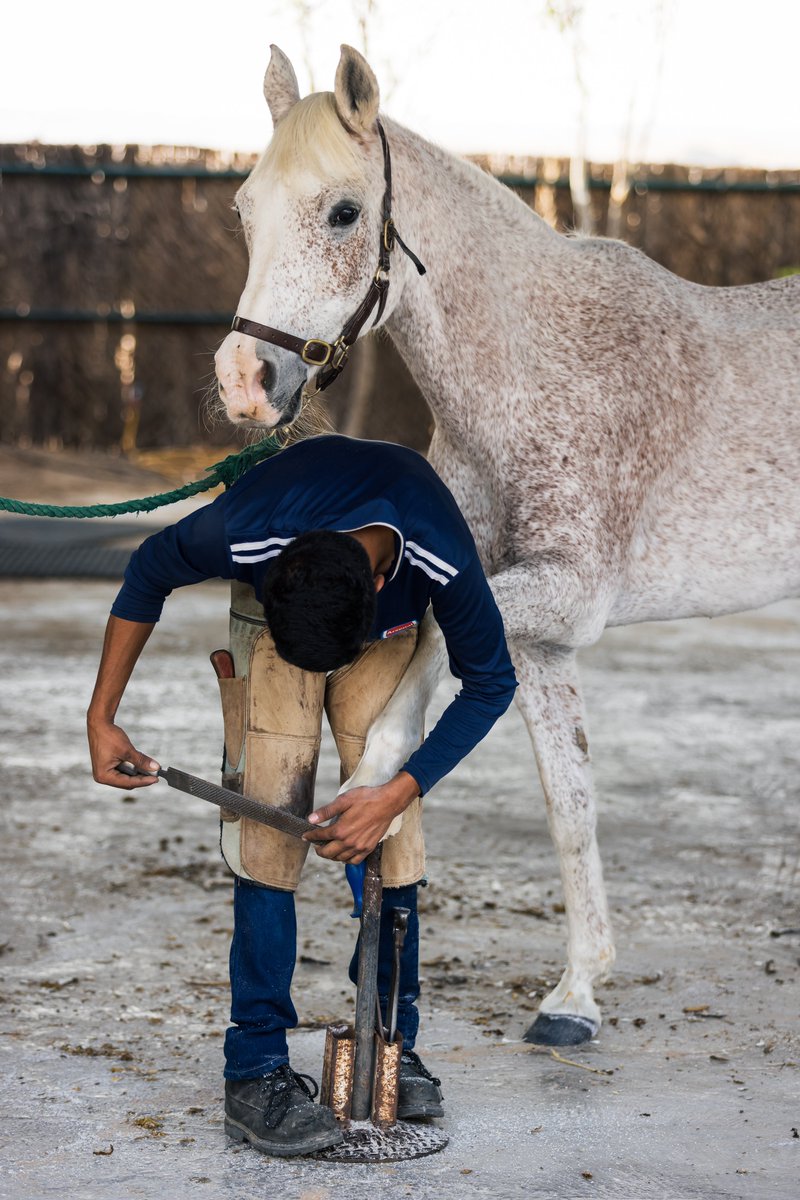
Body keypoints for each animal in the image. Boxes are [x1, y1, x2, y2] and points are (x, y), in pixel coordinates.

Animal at [213, 44, 800, 1047]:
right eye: (246, 210)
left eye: (343, 212)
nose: (245, 380)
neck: (534, 365)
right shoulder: (540, 639)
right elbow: (570, 804)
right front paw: (576, 996)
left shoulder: (564, 593)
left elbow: (414, 694)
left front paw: (370, 790)